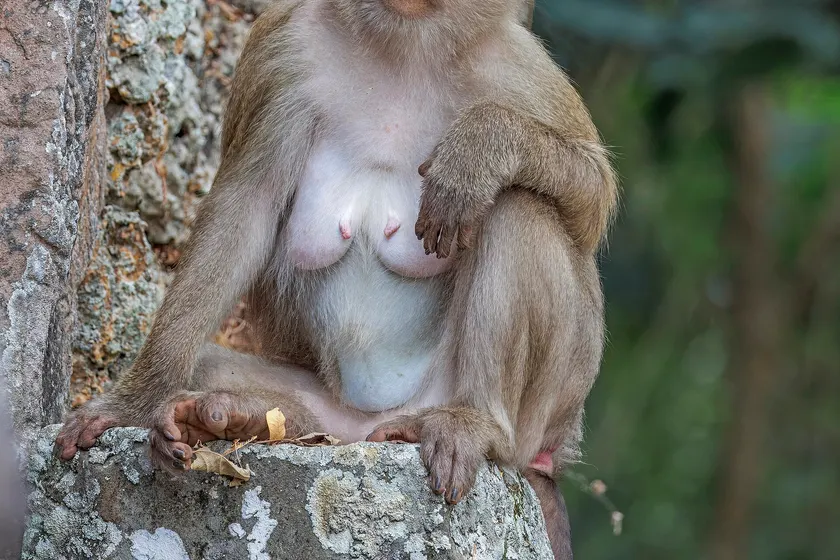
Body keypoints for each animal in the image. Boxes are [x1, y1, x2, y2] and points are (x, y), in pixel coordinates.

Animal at [55, 0, 617, 557]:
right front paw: (133, 404)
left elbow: (591, 197)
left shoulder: (515, 66)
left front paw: (482, 148)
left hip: (546, 404)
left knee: (517, 206)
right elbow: (245, 211)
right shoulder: (285, 50)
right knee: (228, 376)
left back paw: (475, 424)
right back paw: (233, 415)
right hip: (338, 420)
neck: (405, 45)